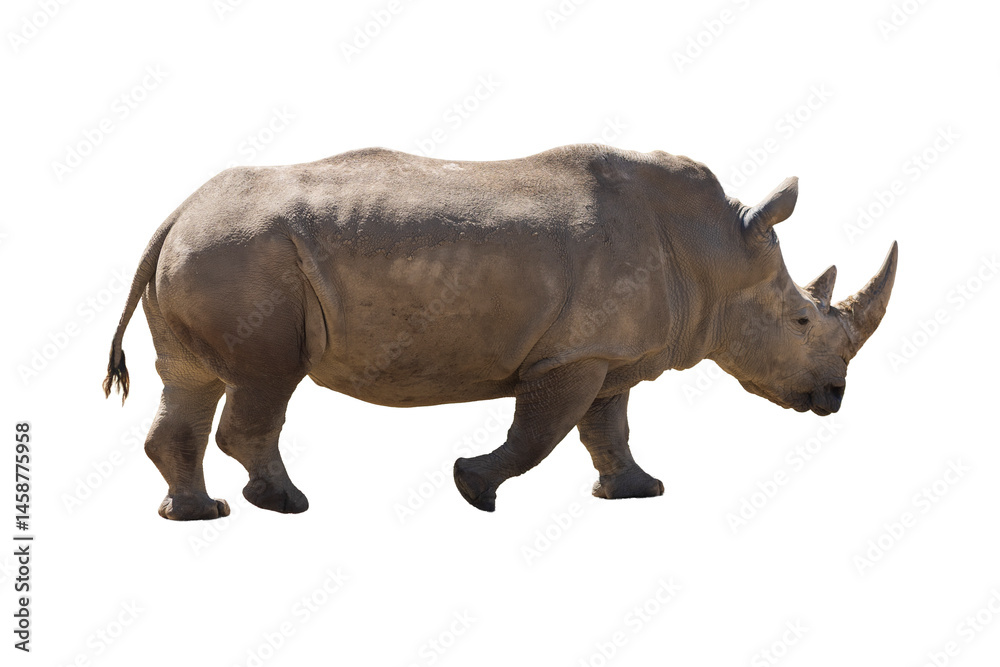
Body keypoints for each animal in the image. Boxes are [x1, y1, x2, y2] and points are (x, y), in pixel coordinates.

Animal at [103, 145, 897, 520]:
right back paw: (285, 503)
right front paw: (472, 487)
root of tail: (176, 212)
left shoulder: (607, 352)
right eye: (801, 320)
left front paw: (637, 493)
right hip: (244, 252)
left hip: (216, 247)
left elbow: (607, 427)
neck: (715, 254)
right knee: (268, 376)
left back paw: (199, 515)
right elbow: (539, 432)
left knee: (193, 380)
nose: (834, 398)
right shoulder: (573, 353)